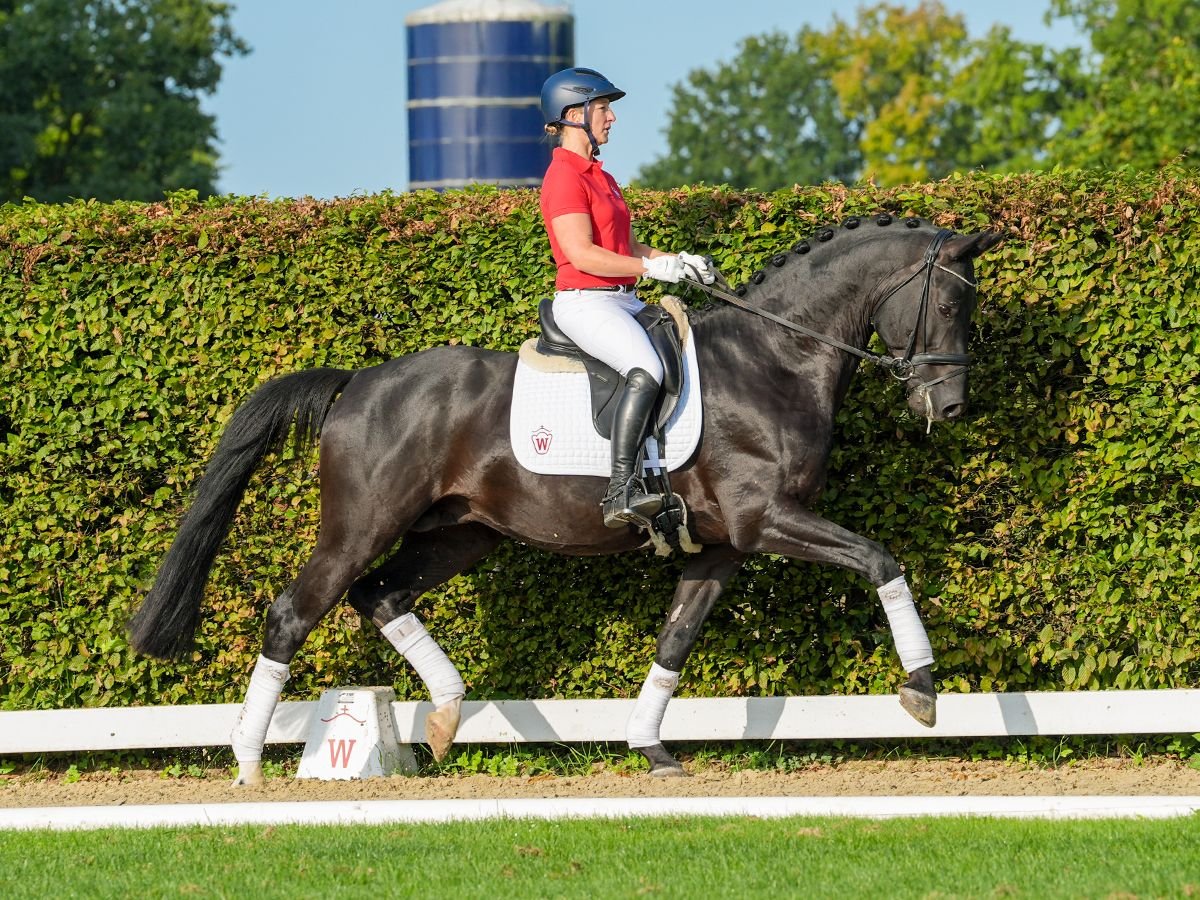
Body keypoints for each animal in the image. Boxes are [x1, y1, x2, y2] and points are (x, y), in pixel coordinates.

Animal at [126, 214, 1003, 787]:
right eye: (949, 304)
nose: (952, 408)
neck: (776, 359)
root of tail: (359, 383)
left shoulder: (724, 545)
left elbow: (675, 640)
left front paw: (649, 746)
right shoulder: (768, 522)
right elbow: (881, 560)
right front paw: (922, 691)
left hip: (461, 533)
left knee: (381, 596)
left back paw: (445, 717)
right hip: (360, 526)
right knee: (294, 613)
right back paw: (247, 762)